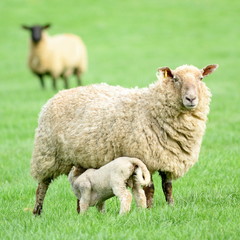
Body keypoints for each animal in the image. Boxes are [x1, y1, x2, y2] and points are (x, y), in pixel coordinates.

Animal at [31, 63, 218, 216]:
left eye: (201, 78)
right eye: (175, 79)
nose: (191, 99)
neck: (151, 106)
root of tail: (59, 94)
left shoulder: (167, 158)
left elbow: (168, 187)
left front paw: (171, 206)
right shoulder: (145, 158)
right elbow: (150, 188)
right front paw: (149, 210)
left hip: (80, 158)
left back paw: (79, 211)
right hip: (47, 154)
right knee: (42, 185)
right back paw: (37, 212)